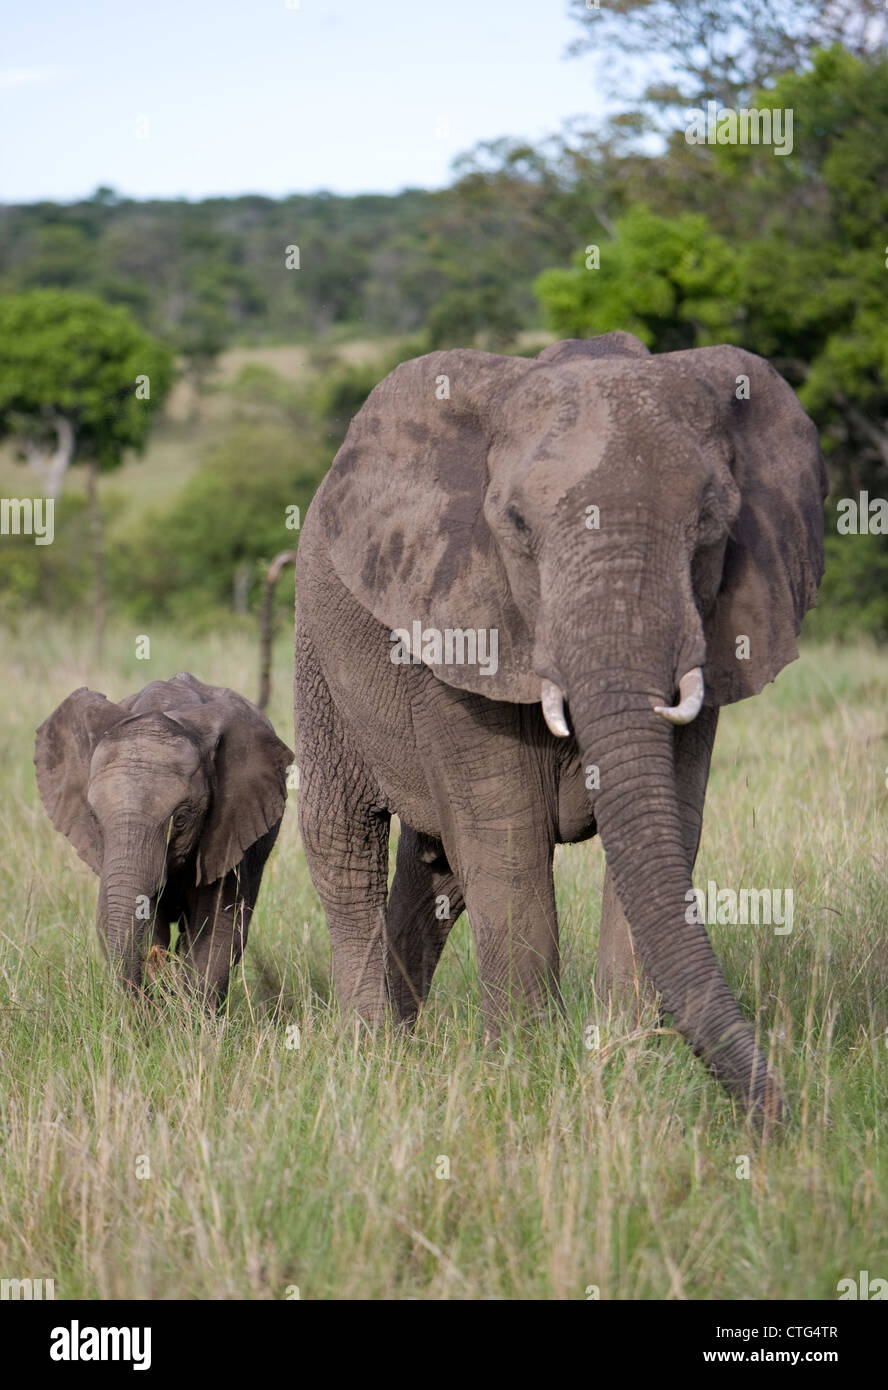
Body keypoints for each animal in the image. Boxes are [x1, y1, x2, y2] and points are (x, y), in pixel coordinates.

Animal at [34, 669, 293, 1006]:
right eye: (94, 817)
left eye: (180, 820)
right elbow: (130, 920)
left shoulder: (229, 829)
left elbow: (219, 928)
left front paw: (193, 1016)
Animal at [293, 330, 828, 1123]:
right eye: (516, 526)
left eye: (710, 522)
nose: (783, 1119)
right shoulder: (459, 616)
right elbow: (505, 840)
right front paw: (525, 1069)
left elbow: (667, 827)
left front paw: (627, 1064)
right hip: (317, 645)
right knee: (343, 838)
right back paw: (373, 1051)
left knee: (434, 870)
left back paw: (406, 1039)